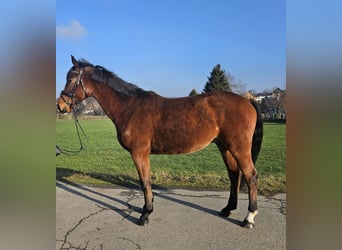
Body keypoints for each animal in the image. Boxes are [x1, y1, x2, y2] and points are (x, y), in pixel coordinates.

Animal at [57, 56, 264, 229]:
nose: (61, 106)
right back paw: (228, 209)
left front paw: (145, 214)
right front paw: (147, 208)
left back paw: (249, 218)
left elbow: (144, 182)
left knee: (250, 176)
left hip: (239, 148)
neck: (130, 107)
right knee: (234, 175)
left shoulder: (139, 153)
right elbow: (146, 181)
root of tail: (247, 101)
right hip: (225, 147)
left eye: (71, 79)